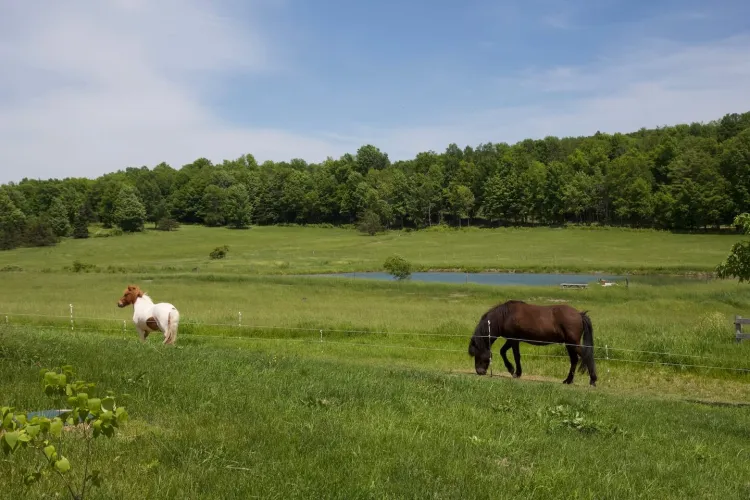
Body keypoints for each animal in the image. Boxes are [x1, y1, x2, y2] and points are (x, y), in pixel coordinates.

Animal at [467, 300, 597, 386]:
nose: (479, 372)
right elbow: (502, 351)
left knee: (586, 356)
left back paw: (593, 380)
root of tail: (580, 314)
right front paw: (511, 369)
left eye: (477, 353)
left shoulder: (514, 340)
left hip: (573, 344)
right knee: (574, 360)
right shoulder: (511, 340)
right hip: (569, 345)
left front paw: (516, 373)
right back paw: (568, 380)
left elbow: (516, 356)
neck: (505, 316)